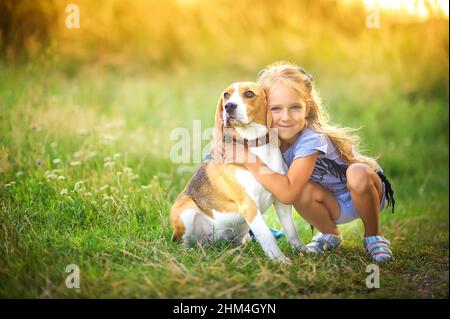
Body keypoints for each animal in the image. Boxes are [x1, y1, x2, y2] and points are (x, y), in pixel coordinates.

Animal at [169, 82, 306, 262]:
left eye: (249, 93)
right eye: (226, 95)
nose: (229, 106)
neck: (255, 146)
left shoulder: (281, 201)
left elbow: (291, 231)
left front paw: (303, 251)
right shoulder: (249, 206)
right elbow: (267, 236)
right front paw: (280, 261)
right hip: (186, 210)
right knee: (183, 242)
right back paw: (188, 251)